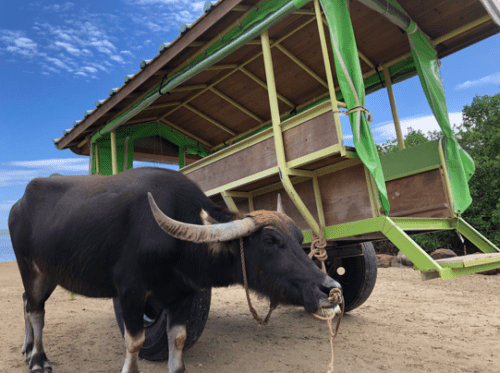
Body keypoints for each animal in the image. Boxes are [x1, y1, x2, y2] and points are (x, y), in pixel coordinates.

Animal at [9, 167, 342, 372]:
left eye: (299, 239)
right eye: (271, 241)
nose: (331, 289)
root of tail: (17, 204)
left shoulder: (183, 295)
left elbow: (178, 340)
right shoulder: (130, 293)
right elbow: (135, 342)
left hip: (49, 273)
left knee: (26, 302)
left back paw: (27, 347)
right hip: (30, 267)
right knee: (35, 309)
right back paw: (37, 358)